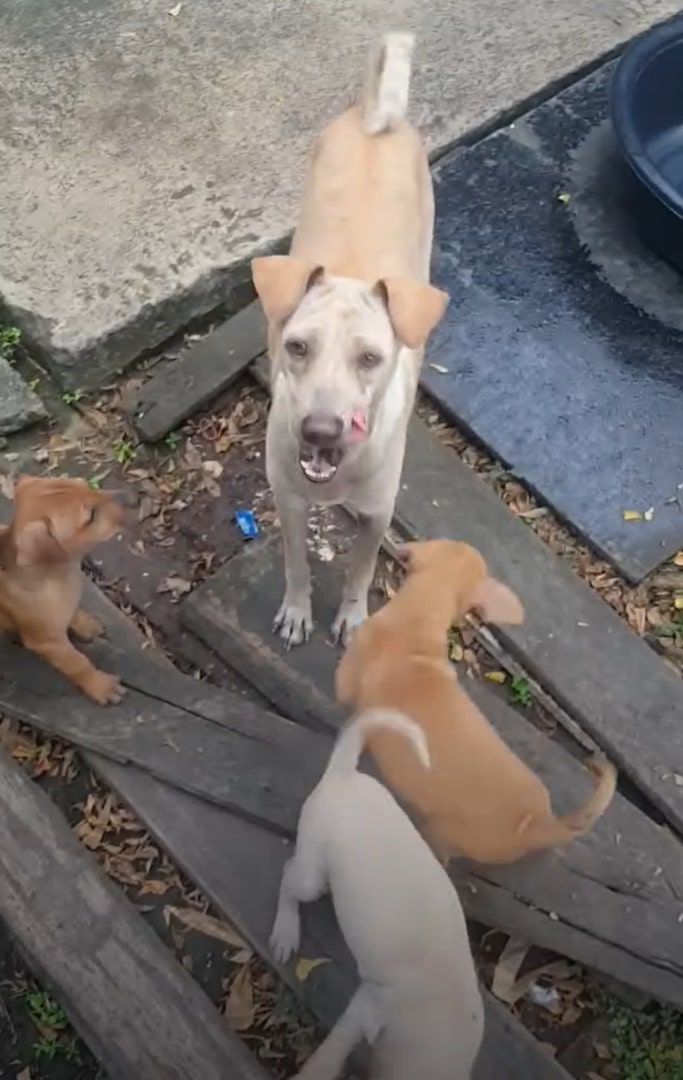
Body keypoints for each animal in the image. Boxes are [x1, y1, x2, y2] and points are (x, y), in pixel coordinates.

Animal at [0, 477, 126, 704]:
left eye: (85, 484)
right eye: (90, 516)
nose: (132, 498)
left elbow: (73, 613)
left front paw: (85, 624)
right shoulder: (48, 643)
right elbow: (78, 663)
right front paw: (100, 685)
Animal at [250, 33, 447, 648]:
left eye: (370, 358)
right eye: (297, 347)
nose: (319, 431)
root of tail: (375, 119)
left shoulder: (377, 515)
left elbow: (361, 569)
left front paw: (354, 618)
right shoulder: (287, 501)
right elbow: (295, 563)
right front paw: (297, 612)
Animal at [269, 708, 481, 1080]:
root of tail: (343, 775)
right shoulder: (367, 1007)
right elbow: (332, 1052)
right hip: (310, 874)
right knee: (289, 876)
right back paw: (286, 930)